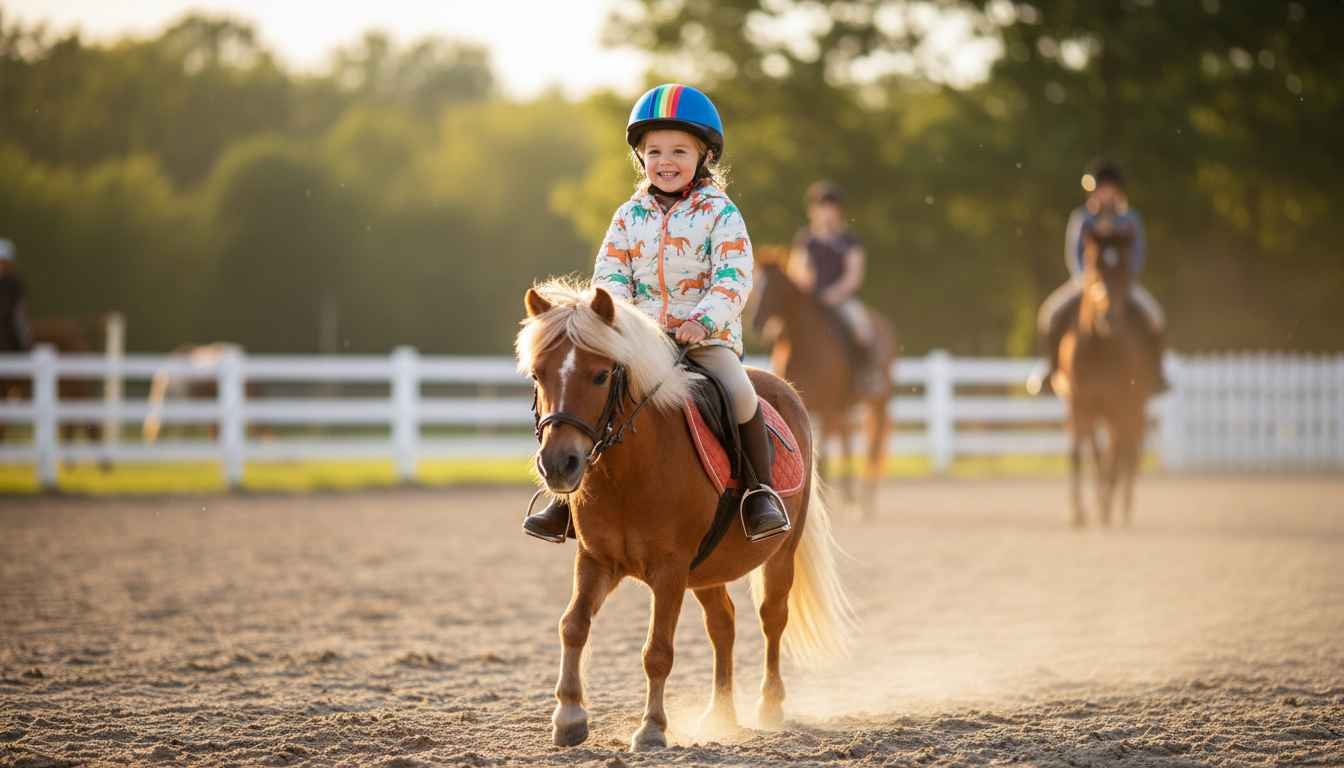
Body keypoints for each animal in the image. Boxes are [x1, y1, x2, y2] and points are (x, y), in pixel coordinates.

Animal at [517, 279, 853, 752]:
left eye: (600, 375)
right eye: (538, 375)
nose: (558, 464)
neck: (629, 474)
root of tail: (783, 389)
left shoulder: (670, 570)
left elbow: (657, 651)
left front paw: (652, 728)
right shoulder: (596, 560)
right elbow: (573, 625)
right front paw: (568, 717)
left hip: (780, 555)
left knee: (772, 619)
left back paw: (769, 707)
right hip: (707, 570)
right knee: (723, 624)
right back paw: (721, 714)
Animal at [748, 248, 897, 518]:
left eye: (774, 287)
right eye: (756, 284)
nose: (756, 324)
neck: (805, 343)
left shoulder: (827, 408)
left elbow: (825, 454)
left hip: (878, 401)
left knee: (872, 444)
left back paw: (866, 502)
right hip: (845, 407)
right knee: (848, 440)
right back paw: (850, 498)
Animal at [1050, 213, 1152, 526]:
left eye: (1123, 270)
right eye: (1095, 268)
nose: (1108, 318)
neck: (1101, 348)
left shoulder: (1121, 404)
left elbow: (1113, 456)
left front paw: (1105, 506)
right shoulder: (1082, 403)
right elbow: (1087, 454)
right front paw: (1082, 511)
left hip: (1133, 407)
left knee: (1128, 451)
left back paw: (1122, 507)